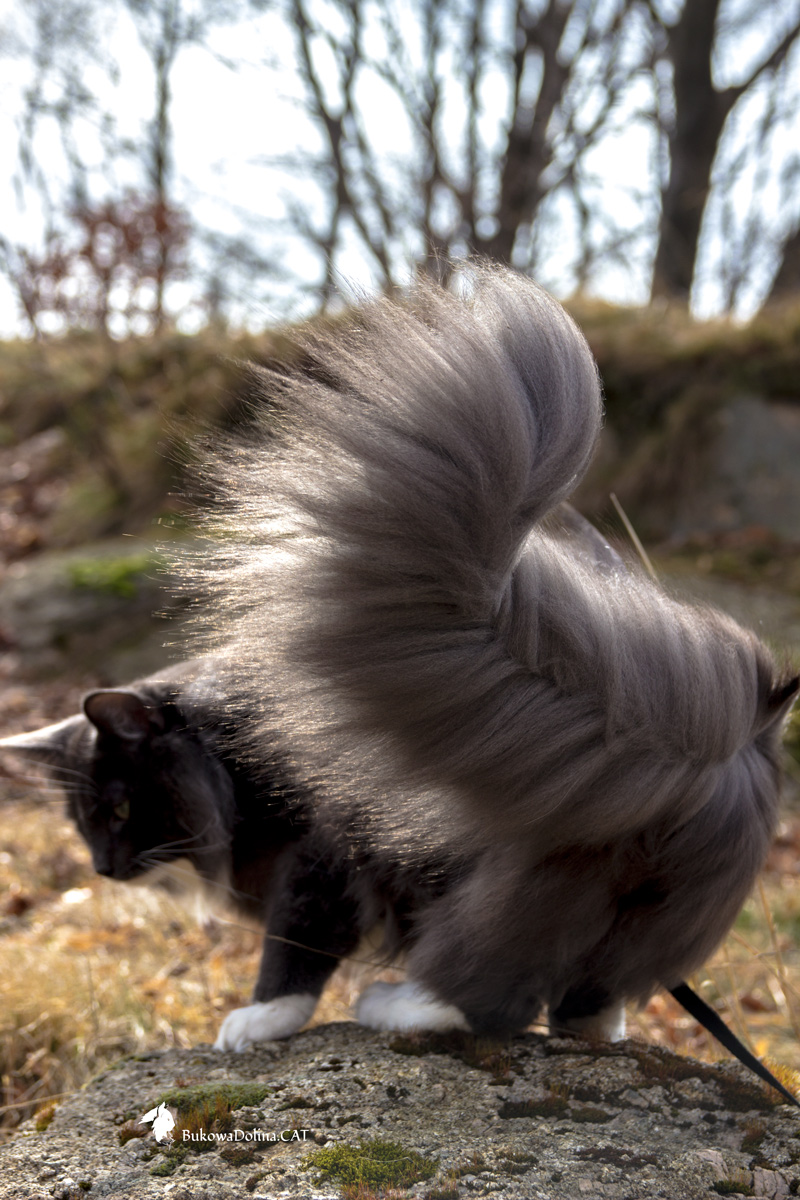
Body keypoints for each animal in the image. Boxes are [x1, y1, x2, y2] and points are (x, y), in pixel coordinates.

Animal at [169, 261, 798, 1046]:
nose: (105, 862)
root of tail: (705, 755)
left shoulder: (322, 865)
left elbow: (294, 955)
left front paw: (254, 1021)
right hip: (645, 919)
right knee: (586, 1003)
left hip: (512, 892)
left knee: (484, 995)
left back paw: (393, 1005)